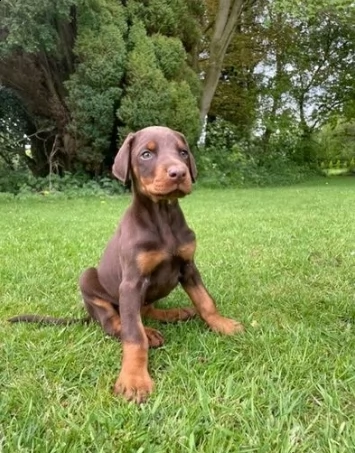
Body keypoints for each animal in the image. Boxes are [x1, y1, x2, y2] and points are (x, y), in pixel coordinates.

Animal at [9, 124, 246, 402]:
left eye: (183, 152)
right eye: (146, 154)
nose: (179, 173)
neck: (163, 217)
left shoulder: (188, 267)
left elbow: (205, 301)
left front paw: (223, 324)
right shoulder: (131, 283)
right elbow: (134, 335)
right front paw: (134, 378)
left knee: (145, 310)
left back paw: (175, 313)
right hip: (89, 279)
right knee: (116, 321)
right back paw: (149, 331)